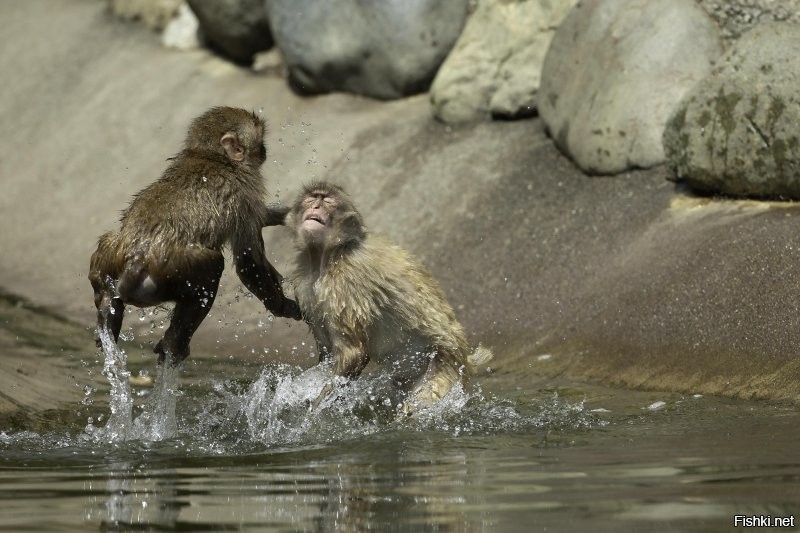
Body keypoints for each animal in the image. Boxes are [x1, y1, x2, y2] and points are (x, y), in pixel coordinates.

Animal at [87, 106, 300, 364]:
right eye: (259, 142)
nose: (264, 150)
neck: (210, 155)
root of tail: (135, 259)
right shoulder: (244, 194)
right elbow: (248, 262)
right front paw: (283, 306)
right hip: (175, 267)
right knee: (212, 267)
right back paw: (175, 343)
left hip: (110, 258)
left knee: (106, 251)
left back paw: (108, 323)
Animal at [284, 181, 490, 414]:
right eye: (312, 198)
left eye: (327, 200)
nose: (316, 207)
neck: (328, 256)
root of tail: (465, 356)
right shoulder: (304, 283)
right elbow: (328, 354)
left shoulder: (346, 281)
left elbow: (354, 352)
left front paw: (317, 409)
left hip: (444, 365)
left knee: (418, 403)